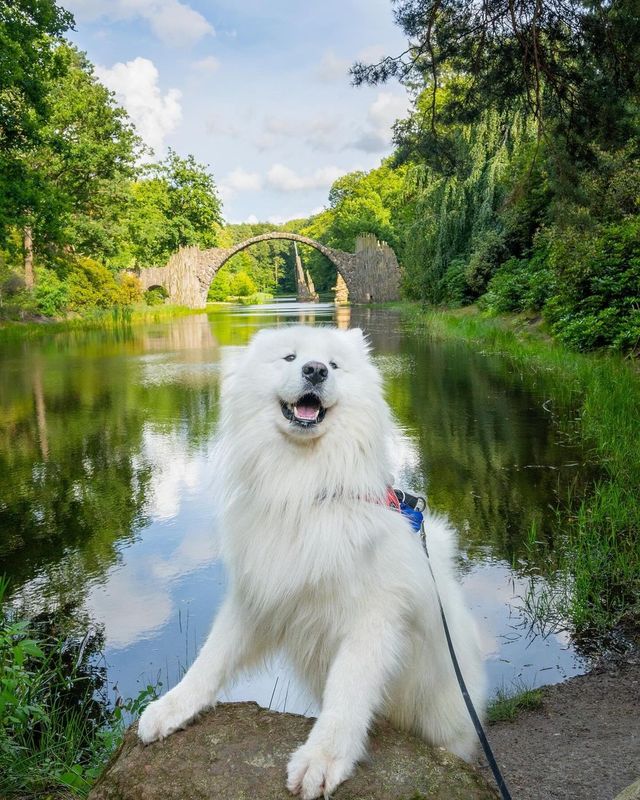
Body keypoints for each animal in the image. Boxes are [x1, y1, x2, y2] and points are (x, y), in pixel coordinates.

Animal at [139, 324, 484, 800]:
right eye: (290, 357)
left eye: (335, 365)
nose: (316, 370)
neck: (303, 486)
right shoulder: (258, 595)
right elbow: (210, 659)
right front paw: (170, 708)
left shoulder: (372, 619)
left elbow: (348, 693)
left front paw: (321, 759)